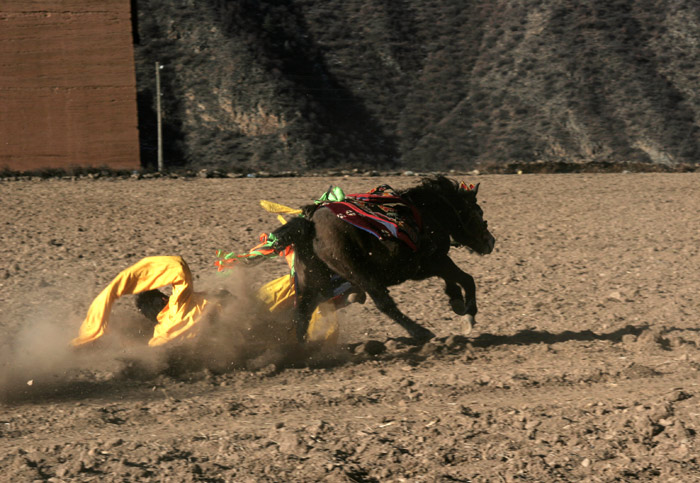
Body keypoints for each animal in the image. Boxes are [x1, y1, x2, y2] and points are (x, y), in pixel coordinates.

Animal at [270, 177, 494, 344]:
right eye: (479, 213)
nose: (491, 241)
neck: (427, 213)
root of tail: (310, 224)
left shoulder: (427, 266)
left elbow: (454, 280)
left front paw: (456, 302)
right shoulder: (435, 260)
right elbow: (467, 279)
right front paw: (469, 316)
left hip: (314, 280)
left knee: (302, 312)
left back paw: (303, 351)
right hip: (358, 274)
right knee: (384, 304)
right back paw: (421, 332)